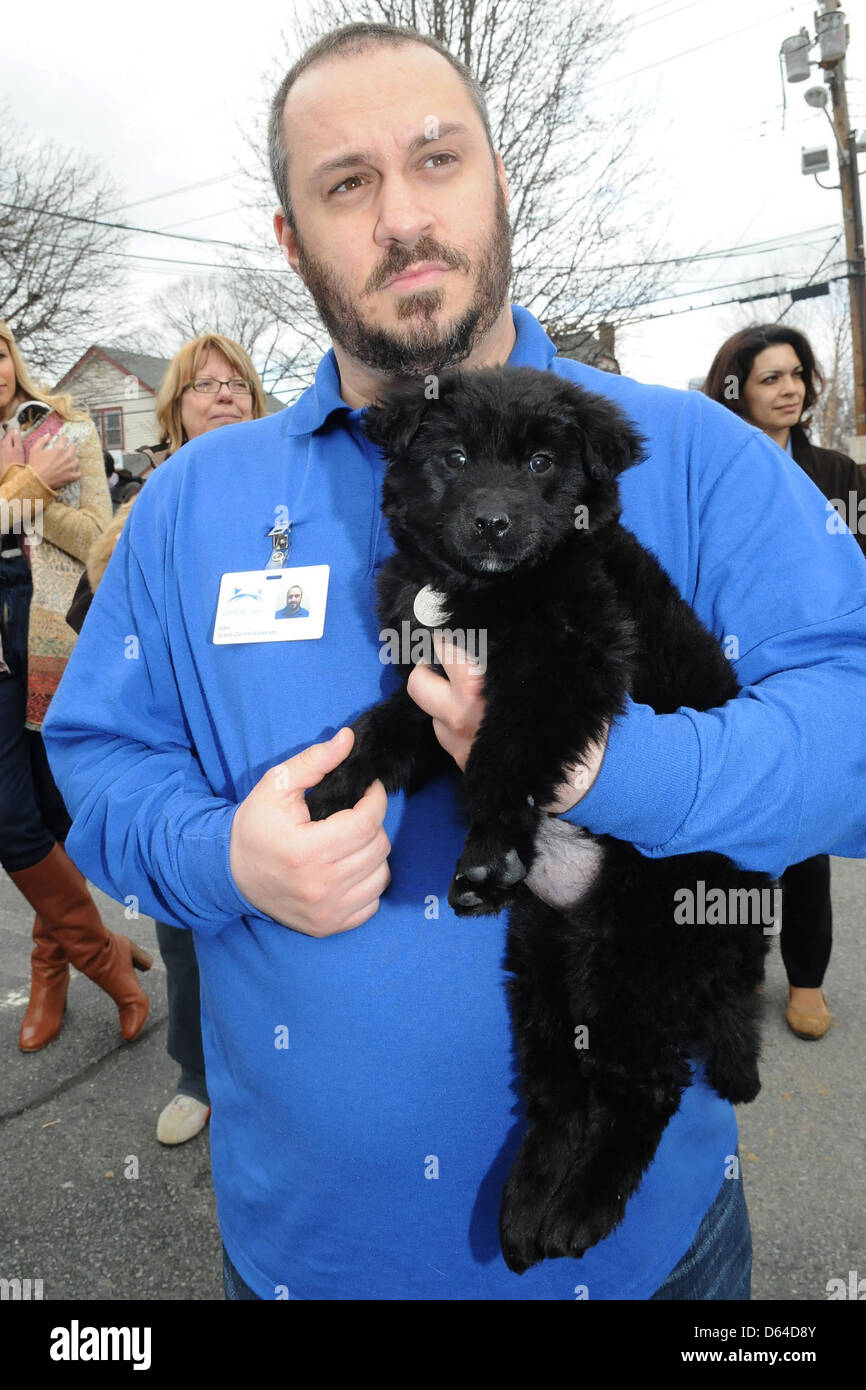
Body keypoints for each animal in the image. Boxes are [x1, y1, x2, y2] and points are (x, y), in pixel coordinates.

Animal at [307, 366, 772, 1273]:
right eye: (454, 458)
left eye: (543, 463)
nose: (494, 520)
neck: (486, 587)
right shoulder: (429, 684)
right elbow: (388, 729)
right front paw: (332, 786)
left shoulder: (565, 661)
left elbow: (504, 754)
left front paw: (486, 849)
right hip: (542, 962)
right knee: (561, 1096)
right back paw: (524, 1212)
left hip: (642, 961)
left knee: (646, 1090)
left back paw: (581, 1214)